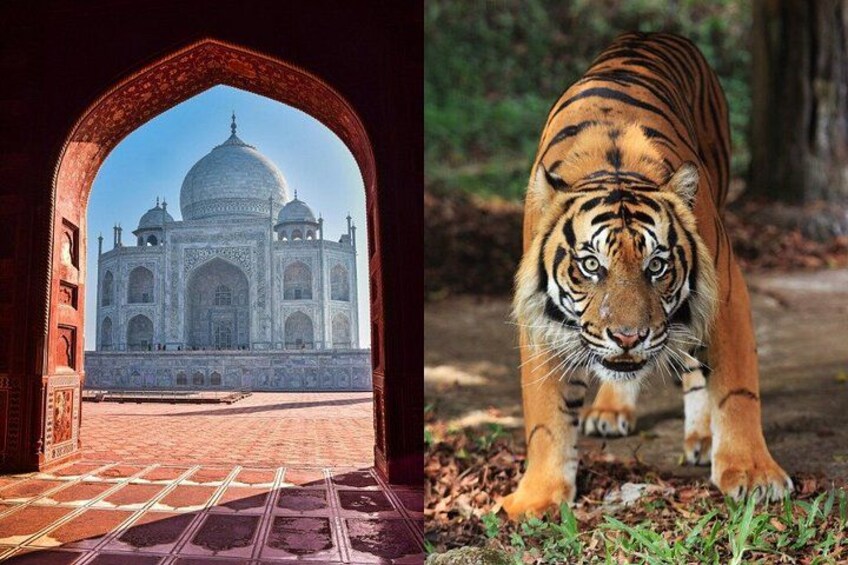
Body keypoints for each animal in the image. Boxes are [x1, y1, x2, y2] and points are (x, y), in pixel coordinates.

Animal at [501, 32, 792, 518]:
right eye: (591, 266)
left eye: (656, 266)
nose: (628, 337)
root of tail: (652, 33)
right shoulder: (539, 318)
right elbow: (545, 415)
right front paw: (537, 497)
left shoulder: (725, 293)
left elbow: (736, 389)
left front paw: (753, 475)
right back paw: (611, 409)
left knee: (695, 364)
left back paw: (702, 436)